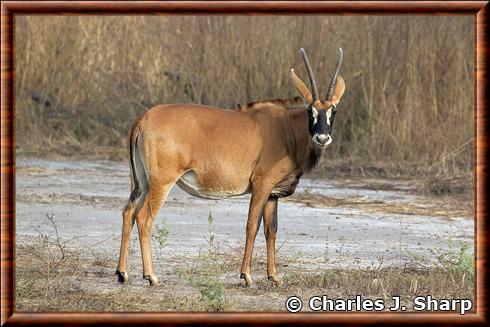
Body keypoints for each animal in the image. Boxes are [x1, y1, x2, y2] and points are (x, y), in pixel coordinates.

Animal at [116, 47, 344, 286]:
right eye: (311, 111)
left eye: (333, 111)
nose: (322, 138)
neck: (286, 128)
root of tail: (143, 118)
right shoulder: (261, 185)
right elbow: (252, 225)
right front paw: (247, 275)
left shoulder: (273, 194)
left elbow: (271, 230)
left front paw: (273, 276)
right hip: (161, 183)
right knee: (144, 218)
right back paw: (151, 276)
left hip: (142, 183)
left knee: (128, 212)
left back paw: (122, 273)